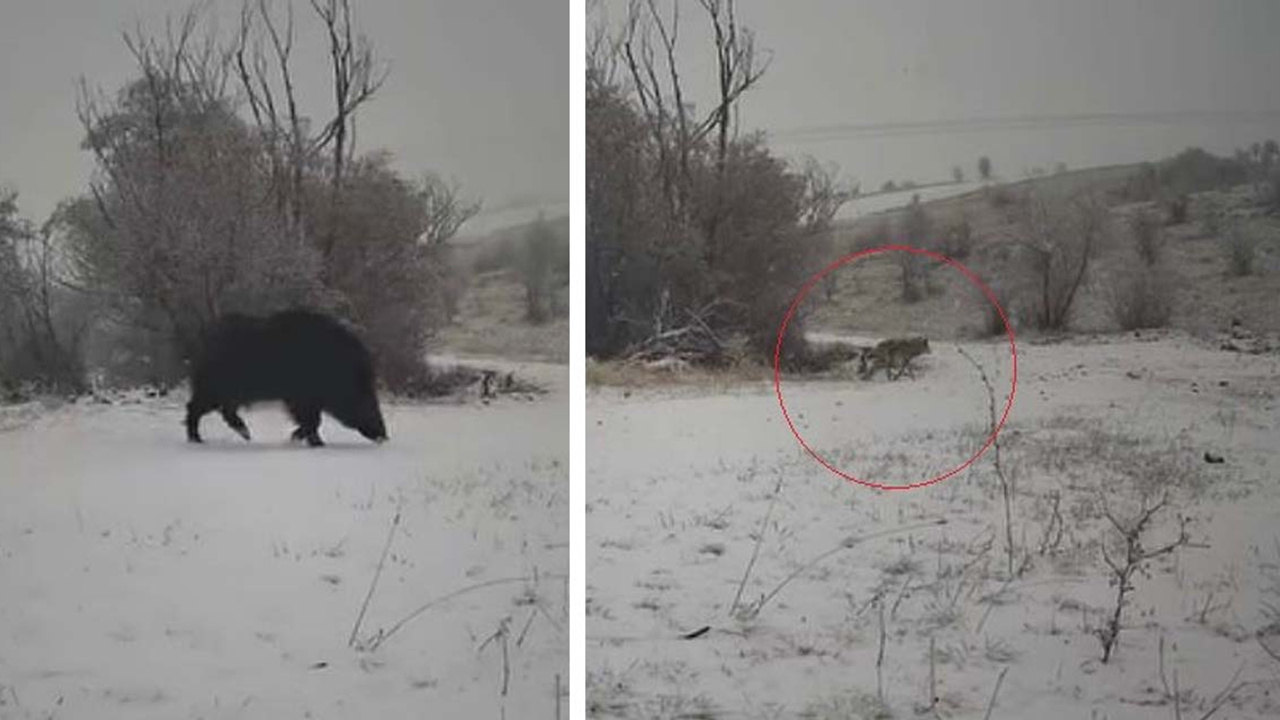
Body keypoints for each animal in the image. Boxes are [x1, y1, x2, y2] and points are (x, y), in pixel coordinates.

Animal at [184, 307, 384, 443]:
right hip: (213, 388)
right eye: (364, 396)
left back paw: (246, 435)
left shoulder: (305, 400)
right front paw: (312, 442)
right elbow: (314, 421)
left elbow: (313, 421)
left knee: (225, 411)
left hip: (227, 393)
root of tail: (202, 346)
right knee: (194, 407)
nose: (384, 435)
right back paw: (198, 439)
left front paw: (299, 438)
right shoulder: (301, 398)